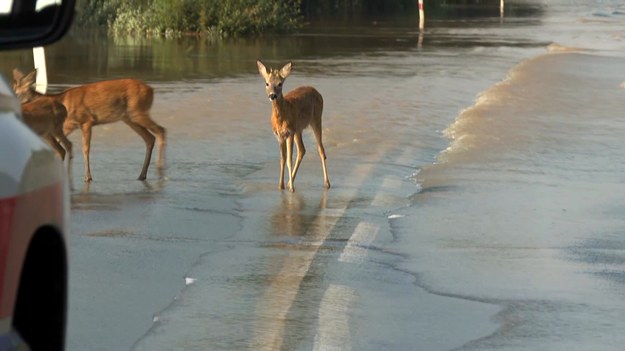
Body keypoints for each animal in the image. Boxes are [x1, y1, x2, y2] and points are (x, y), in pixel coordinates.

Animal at [14, 69, 166, 184]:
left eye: (16, 92)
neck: (62, 100)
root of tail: (151, 90)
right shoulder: (68, 126)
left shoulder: (86, 121)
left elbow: (85, 149)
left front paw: (88, 177)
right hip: (128, 118)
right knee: (149, 138)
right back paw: (142, 175)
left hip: (137, 112)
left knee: (161, 131)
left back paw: (160, 170)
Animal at [256, 60, 332, 192]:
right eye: (267, 83)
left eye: (280, 84)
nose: (272, 95)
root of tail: (316, 91)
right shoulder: (280, 136)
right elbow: (282, 159)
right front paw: (280, 186)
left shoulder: (289, 132)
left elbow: (289, 160)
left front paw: (291, 189)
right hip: (299, 129)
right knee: (302, 149)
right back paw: (288, 183)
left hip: (316, 119)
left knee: (321, 150)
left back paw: (327, 183)